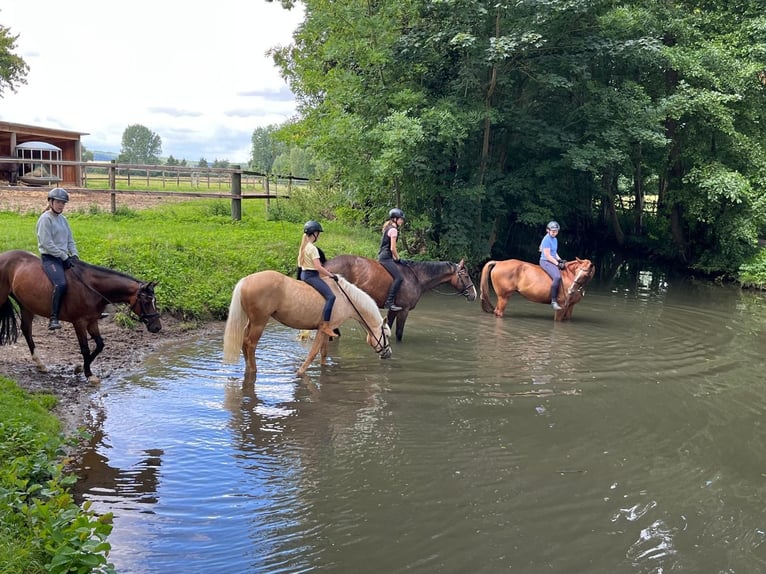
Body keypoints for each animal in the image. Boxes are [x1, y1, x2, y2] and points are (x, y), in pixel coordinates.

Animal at [0, 249, 162, 383]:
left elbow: (100, 345)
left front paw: (81, 368)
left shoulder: (92, 321)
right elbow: (85, 349)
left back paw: (40, 364)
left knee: (26, 330)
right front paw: (88, 374)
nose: (157, 327)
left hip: (26, 306)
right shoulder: (79, 322)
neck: (92, 288)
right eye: (146, 301)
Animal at [222, 270, 392, 381]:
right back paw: (253, 370)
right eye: (387, 334)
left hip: (252, 321)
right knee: (250, 344)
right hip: (259, 322)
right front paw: (301, 372)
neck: (346, 299)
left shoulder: (327, 331)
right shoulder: (323, 330)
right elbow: (314, 352)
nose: (388, 353)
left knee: (244, 341)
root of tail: (246, 280)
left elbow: (323, 353)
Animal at [324, 255, 477, 341]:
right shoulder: (404, 310)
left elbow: (389, 328)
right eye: (466, 276)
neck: (417, 277)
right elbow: (398, 333)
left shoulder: (394, 310)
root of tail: (325, 265)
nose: (474, 294)